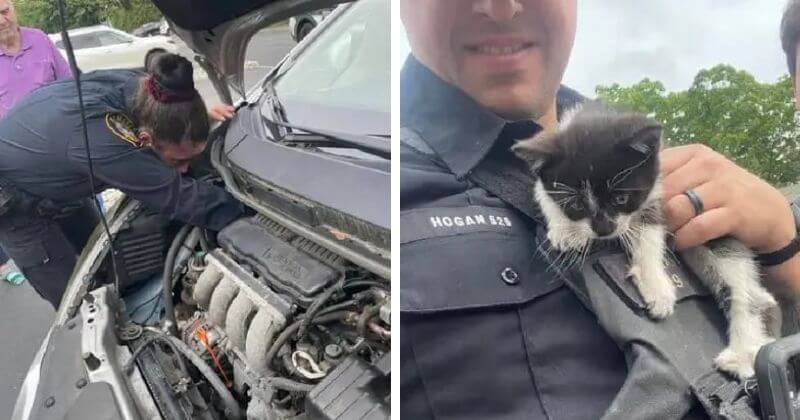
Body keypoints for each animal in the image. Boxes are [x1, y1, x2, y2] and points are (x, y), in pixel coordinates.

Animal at [512, 102, 780, 380]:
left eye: (621, 198)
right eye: (576, 205)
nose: (604, 229)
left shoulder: (657, 190)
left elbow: (649, 233)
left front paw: (656, 288)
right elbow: (542, 193)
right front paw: (565, 228)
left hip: (718, 239)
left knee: (747, 293)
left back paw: (742, 353)